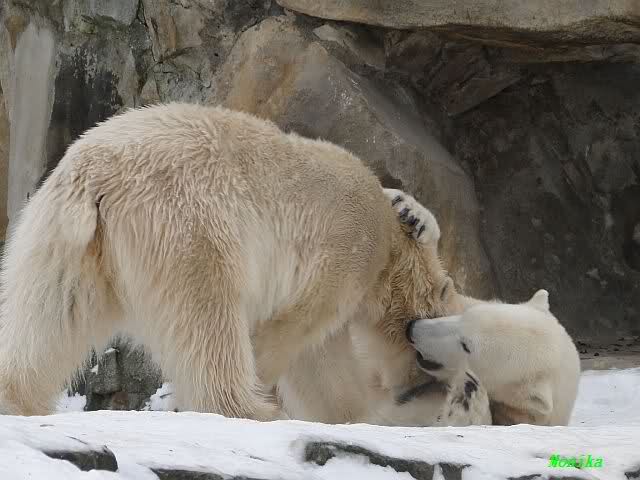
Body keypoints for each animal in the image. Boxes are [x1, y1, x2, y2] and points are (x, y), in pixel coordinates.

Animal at [0, 103, 467, 420]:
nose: (412, 388)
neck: (390, 244)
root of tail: (97, 174)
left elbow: (320, 363)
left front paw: (350, 414)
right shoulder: (347, 251)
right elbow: (291, 331)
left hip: (60, 236)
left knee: (46, 316)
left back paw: (16, 398)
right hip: (187, 223)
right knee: (209, 319)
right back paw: (249, 409)